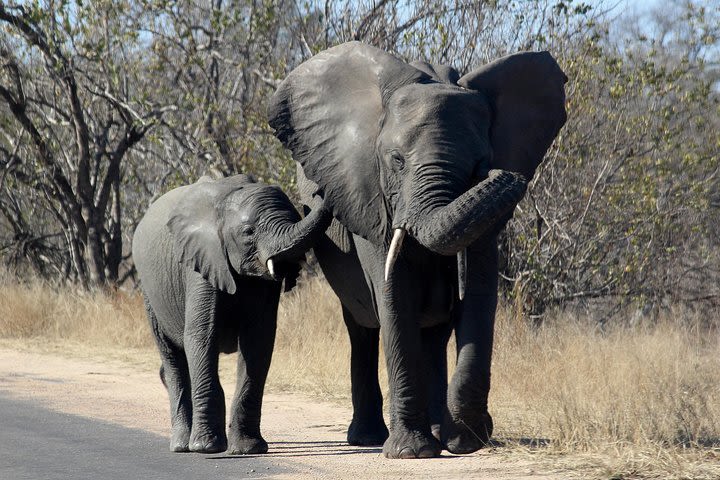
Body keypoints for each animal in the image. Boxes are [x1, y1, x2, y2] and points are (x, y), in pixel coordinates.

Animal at [132, 175, 330, 454]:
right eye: (248, 232)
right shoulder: (201, 262)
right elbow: (201, 336)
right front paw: (206, 448)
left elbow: (258, 342)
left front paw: (248, 449)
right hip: (150, 294)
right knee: (172, 358)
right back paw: (182, 445)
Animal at [268, 43, 564, 460]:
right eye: (396, 160)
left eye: (481, 161)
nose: (500, 174)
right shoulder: (370, 198)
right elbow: (395, 295)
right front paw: (412, 452)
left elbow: (478, 295)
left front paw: (464, 441)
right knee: (362, 329)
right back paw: (370, 438)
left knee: (434, 336)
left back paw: (438, 432)